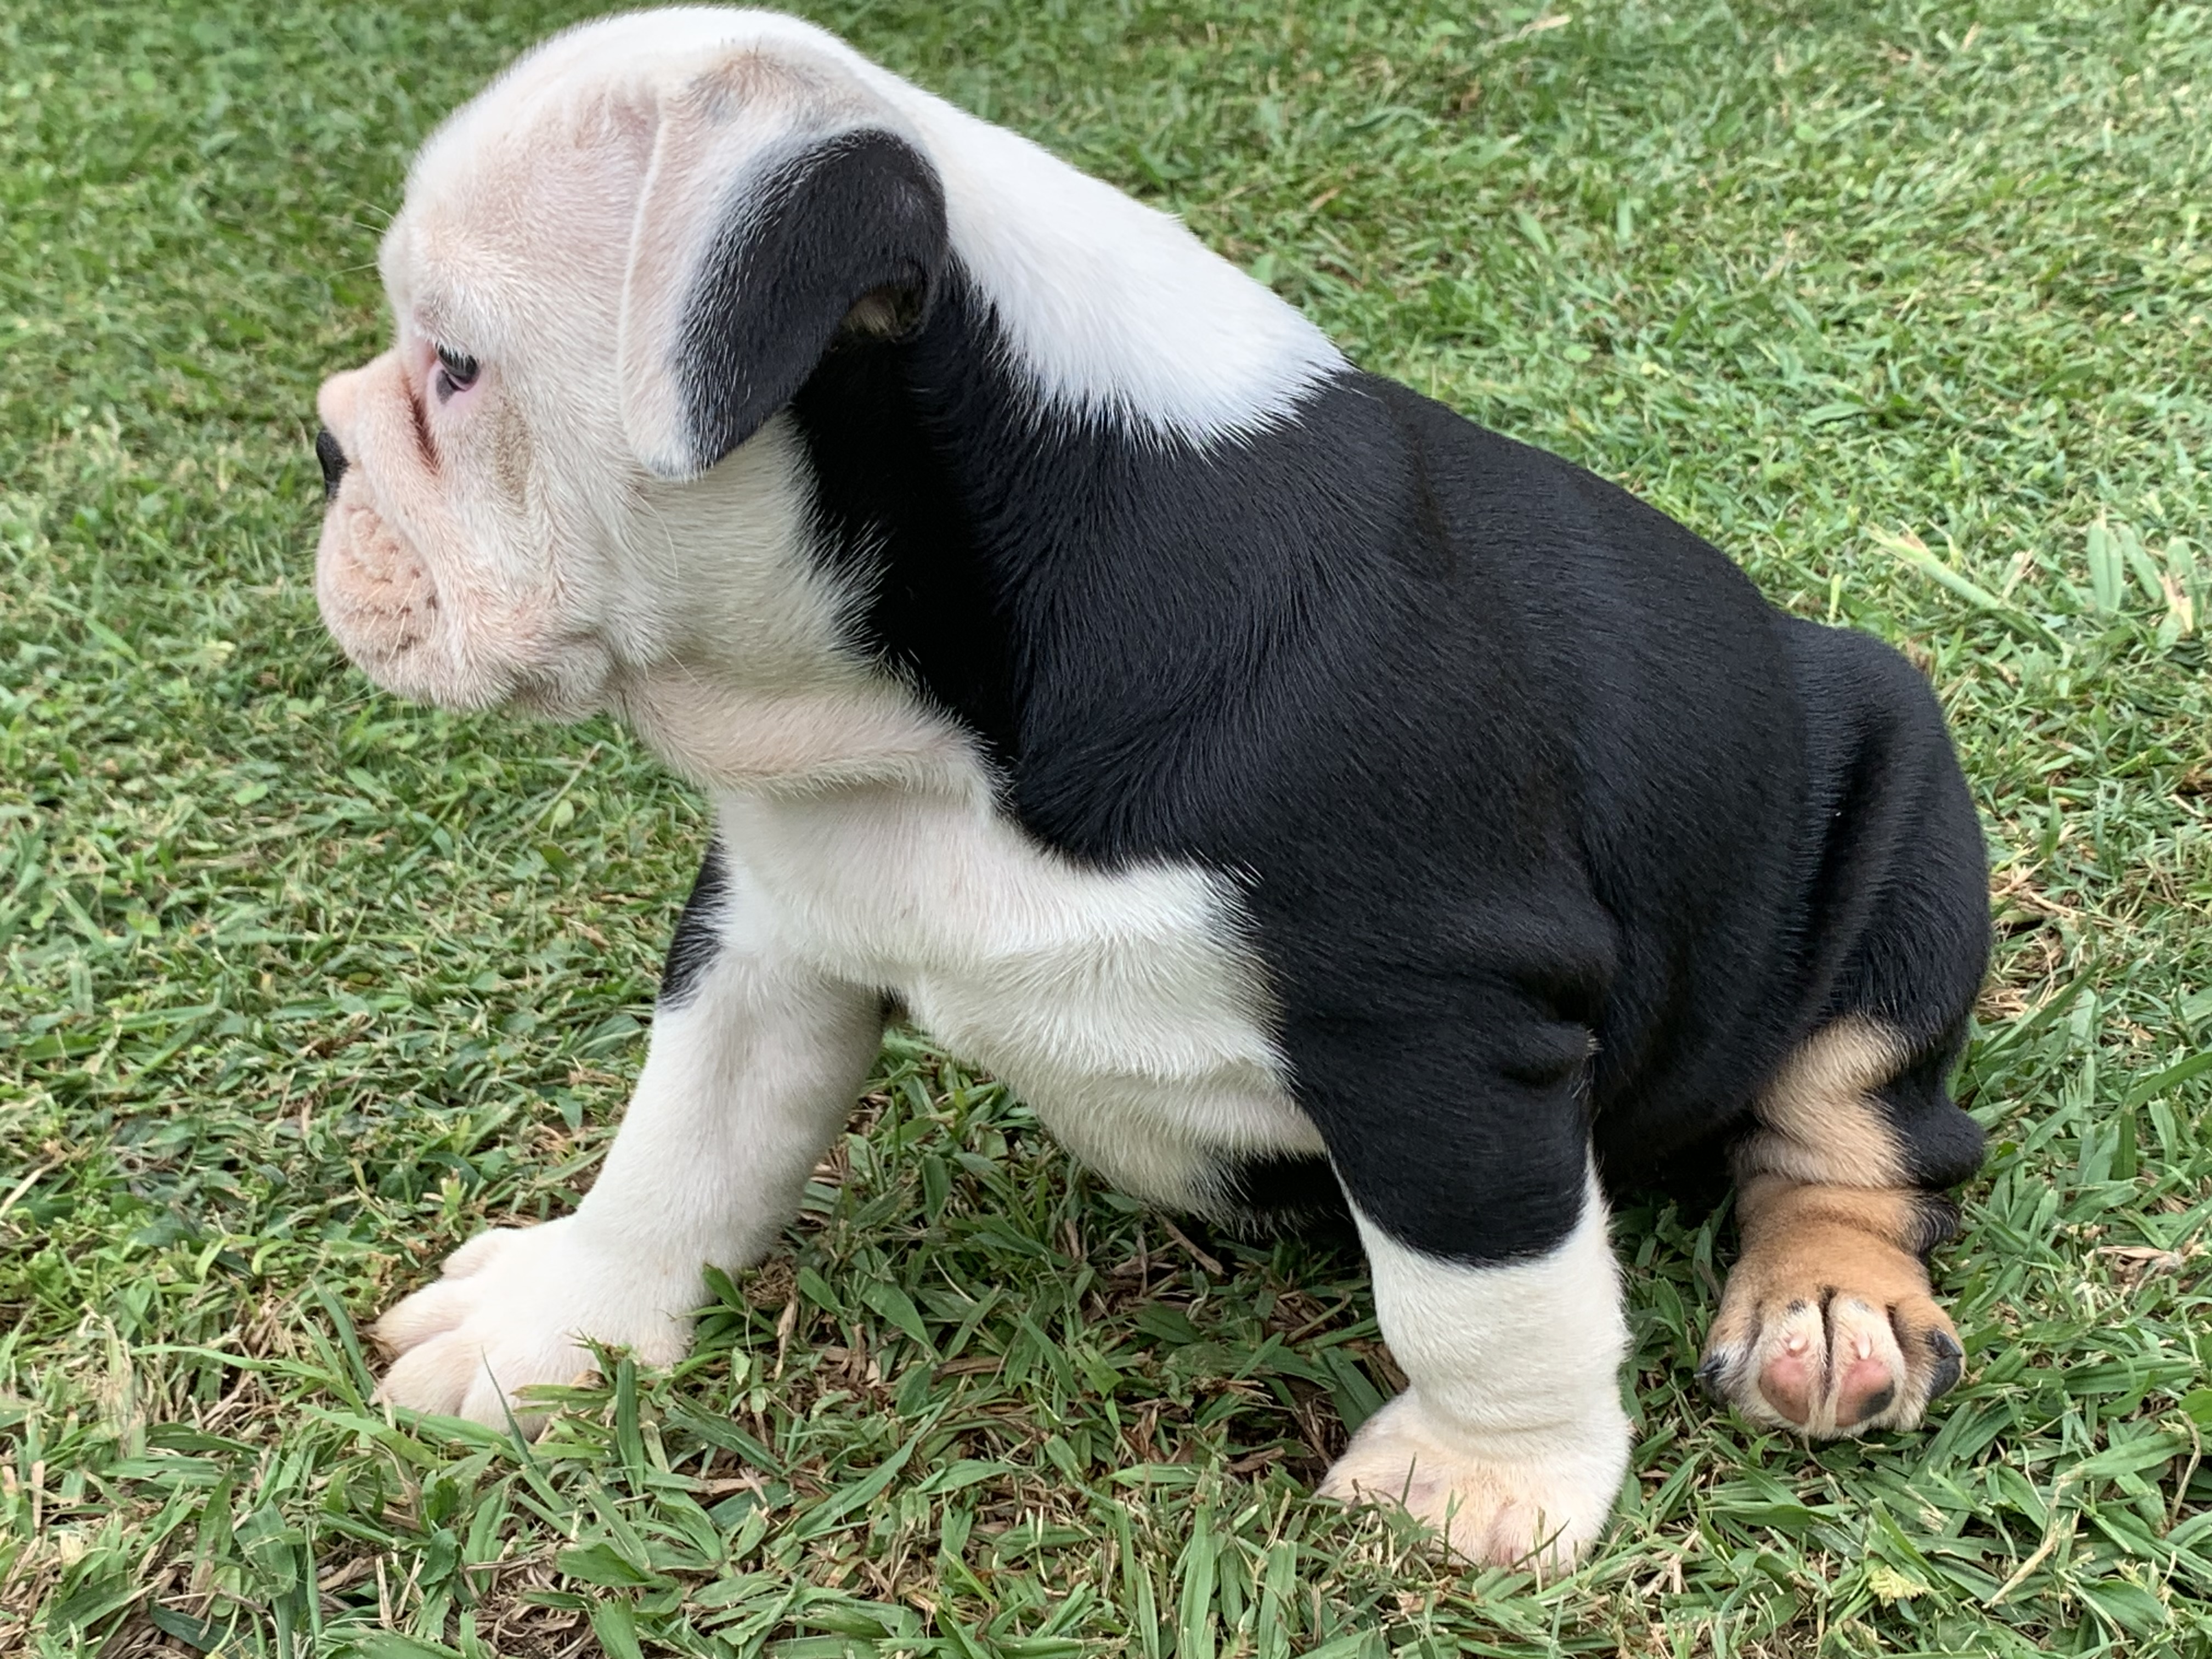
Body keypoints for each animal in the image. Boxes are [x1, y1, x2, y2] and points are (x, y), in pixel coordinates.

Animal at [308, 6, 1989, 1569]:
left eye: (455, 368)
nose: (325, 443)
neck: (923, 729)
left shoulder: (1444, 1038)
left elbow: (1483, 1291)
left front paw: (1481, 1480)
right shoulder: (771, 923)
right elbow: (685, 1138)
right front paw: (556, 1321)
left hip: (1899, 845)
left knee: (1858, 1127)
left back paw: (1827, 1304)